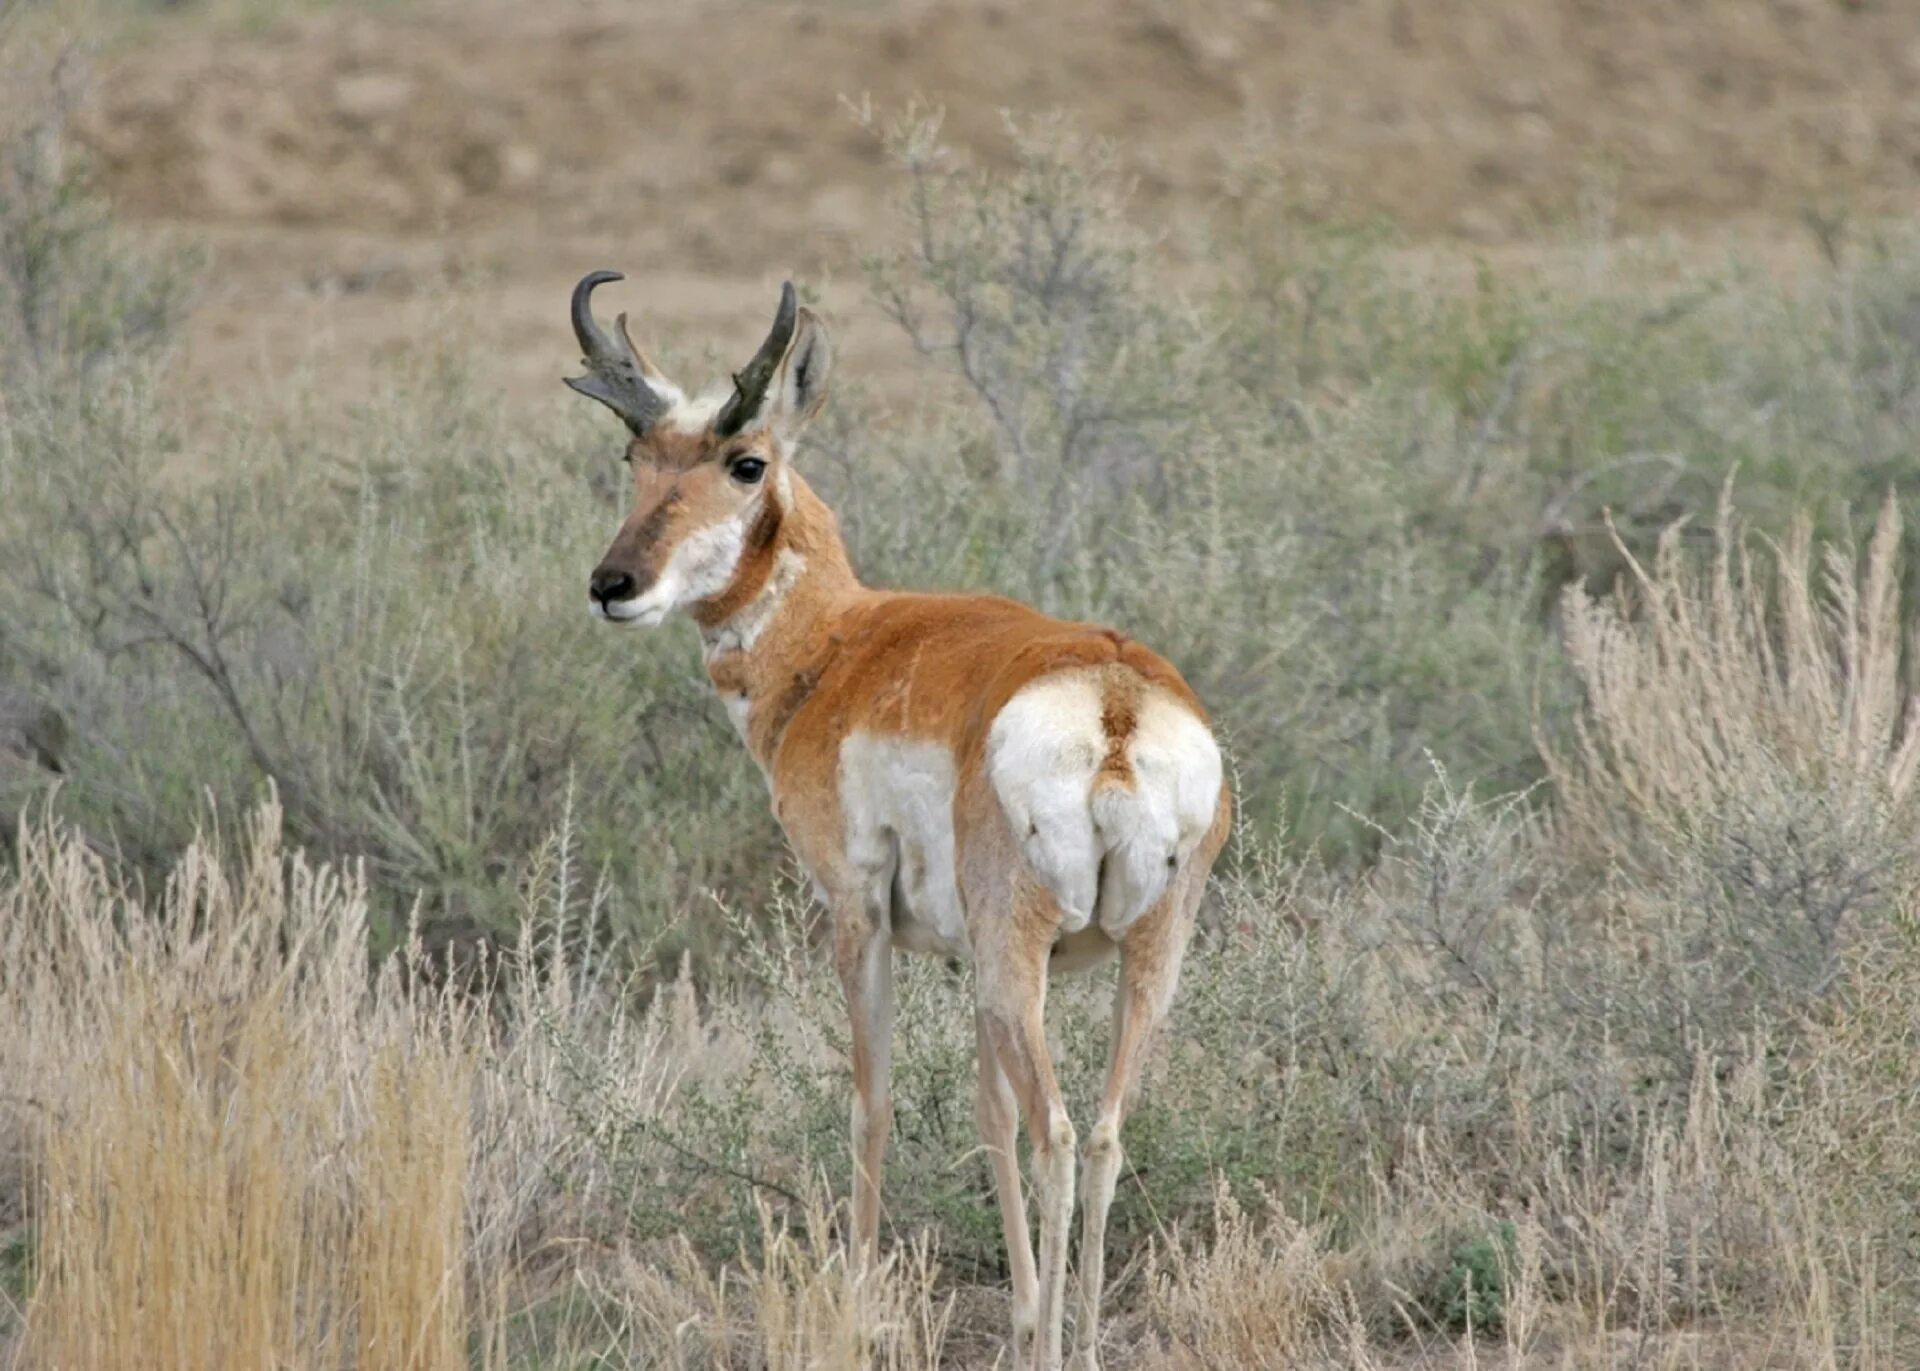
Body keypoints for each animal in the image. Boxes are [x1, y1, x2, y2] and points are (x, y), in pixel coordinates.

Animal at [568, 272, 1228, 1359]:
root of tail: (1112, 696)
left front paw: (859, 1301)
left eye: (747, 461)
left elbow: (870, 1104)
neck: (843, 643)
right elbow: (987, 1115)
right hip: (1134, 961)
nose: (613, 585)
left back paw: (1059, 1351)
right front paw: (1020, 1312)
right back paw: (1082, 1340)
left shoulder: (857, 916)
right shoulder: (969, 968)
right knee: (1098, 1133)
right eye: (637, 456)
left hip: (1019, 958)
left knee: (1057, 1133)